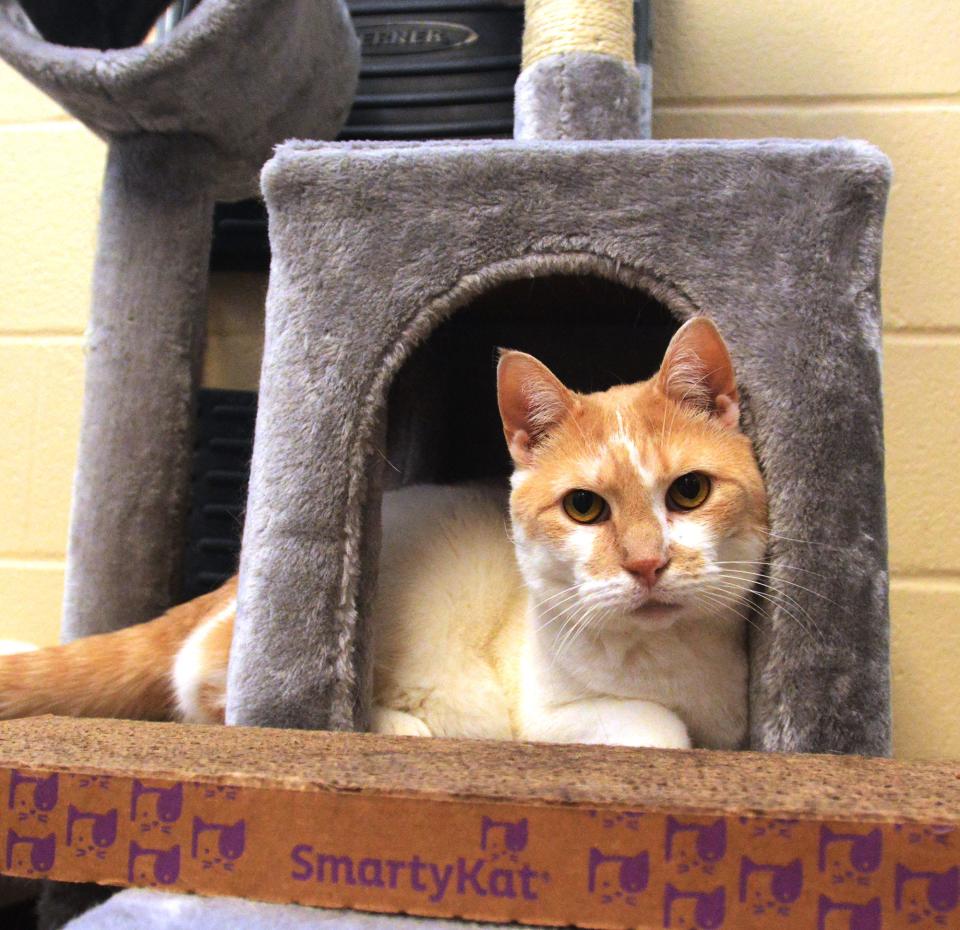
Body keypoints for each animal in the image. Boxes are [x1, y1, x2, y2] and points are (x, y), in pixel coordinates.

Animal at [0, 320, 764, 748]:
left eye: (689, 492)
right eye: (585, 507)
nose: (647, 563)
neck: (670, 660)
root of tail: (239, 581)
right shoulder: (548, 716)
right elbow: (661, 730)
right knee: (203, 686)